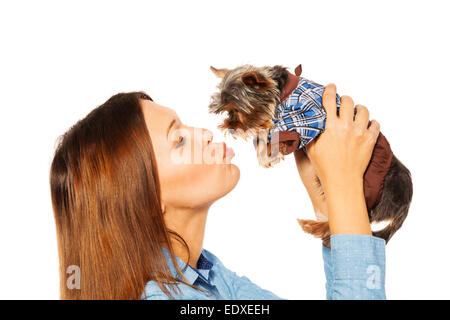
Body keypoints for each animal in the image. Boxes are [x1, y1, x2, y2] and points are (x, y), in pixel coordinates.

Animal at [209, 63, 414, 248]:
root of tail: (404, 207)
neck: (282, 91)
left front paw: (270, 151)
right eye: (227, 111)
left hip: (368, 191)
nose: (229, 127)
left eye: (237, 109)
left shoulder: (309, 117)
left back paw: (314, 227)